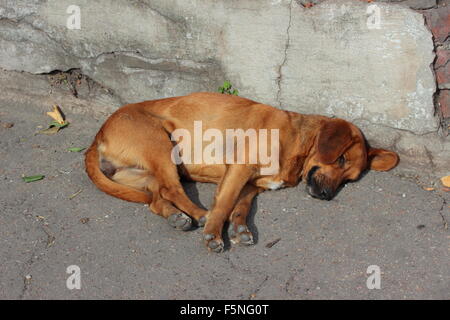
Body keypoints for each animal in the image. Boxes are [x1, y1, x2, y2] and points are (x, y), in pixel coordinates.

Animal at [84, 92, 398, 252]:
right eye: (341, 158)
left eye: (349, 180)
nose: (324, 195)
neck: (297, 143)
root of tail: (97, 135)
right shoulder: (240, 169)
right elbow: (224, 204)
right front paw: (214, 232)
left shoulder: (252, 184)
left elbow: (241, 207)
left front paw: (240, 228)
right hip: (161, 145)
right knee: (172, 189)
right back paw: (199, 214)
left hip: (144, 174)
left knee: (156, 199)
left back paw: (176, 216)